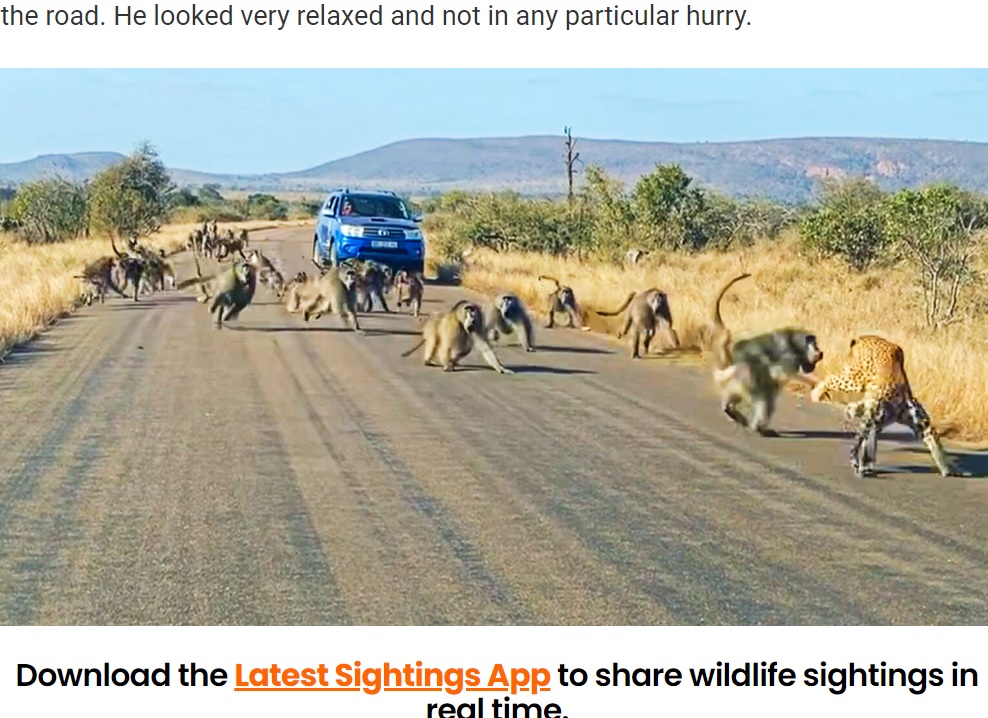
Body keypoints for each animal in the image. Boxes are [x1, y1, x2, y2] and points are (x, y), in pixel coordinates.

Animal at [812, 336, 956, 480]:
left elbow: (867, 443)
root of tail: (866, 337)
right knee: (832, 378)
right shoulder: (871, 421)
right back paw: (816, 393)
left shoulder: (877, 423)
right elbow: (861, 443)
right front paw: (859, 465)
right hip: (856, 378)